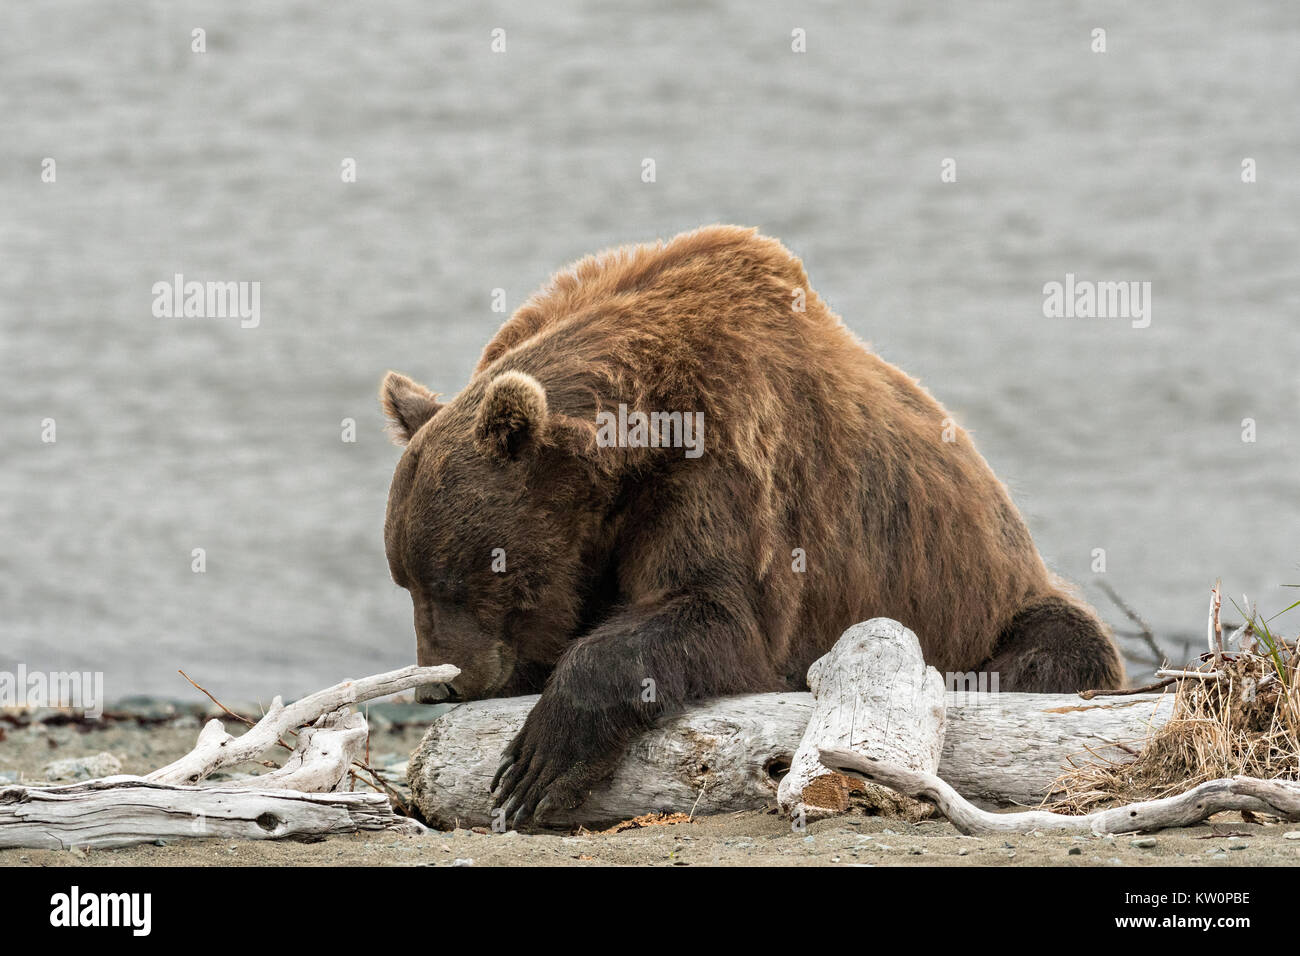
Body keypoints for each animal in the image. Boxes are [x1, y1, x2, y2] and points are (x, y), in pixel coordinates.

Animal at [379, 226, 1123, 832]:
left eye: (456, 576)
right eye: (405, 579)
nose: (440, 686)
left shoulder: (730, 460)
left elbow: (721, 612)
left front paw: (540, 760)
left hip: (998, 602)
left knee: (1064, 645)